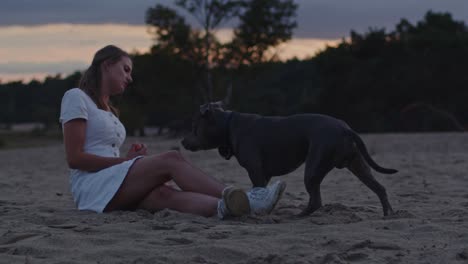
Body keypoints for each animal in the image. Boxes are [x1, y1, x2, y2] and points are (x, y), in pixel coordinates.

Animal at [181, 102, 396, 216]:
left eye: (194, 127)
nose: (182, 141)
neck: (227, 125)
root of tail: (345, 128)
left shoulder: (256, 171)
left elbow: (258, 190)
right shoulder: (263, 174)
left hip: (313, 169)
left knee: (316, 200)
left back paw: (300, 216)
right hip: (358, 165)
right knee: (380, 188)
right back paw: (388, 214)